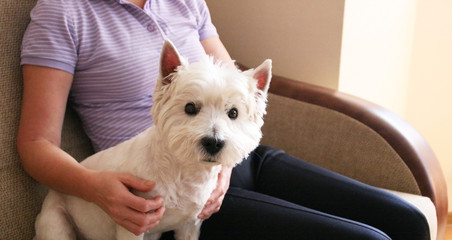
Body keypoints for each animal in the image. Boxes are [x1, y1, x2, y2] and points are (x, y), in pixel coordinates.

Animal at [34, 40, 272, 239]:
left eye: (233, 113)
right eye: (190, 108)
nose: (214, 142)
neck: (185, 173)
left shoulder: (189, 226)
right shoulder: (132, 224)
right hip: (56, 223)